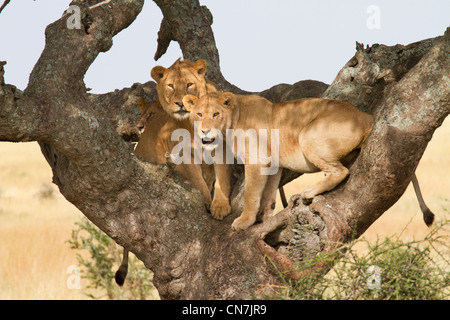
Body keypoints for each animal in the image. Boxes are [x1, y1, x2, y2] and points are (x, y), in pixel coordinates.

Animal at [184, 91, 436, 231]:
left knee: (340, 172)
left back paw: (308, 192)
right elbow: (268, 194)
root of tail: (367, 116)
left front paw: (244, 222)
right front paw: (264, 218)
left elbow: (251, 195)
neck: (232, 121)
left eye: (215, 114)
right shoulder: (273, 164)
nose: (205, 131)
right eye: (199, 114)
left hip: (308, 134)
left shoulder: (257, 161)